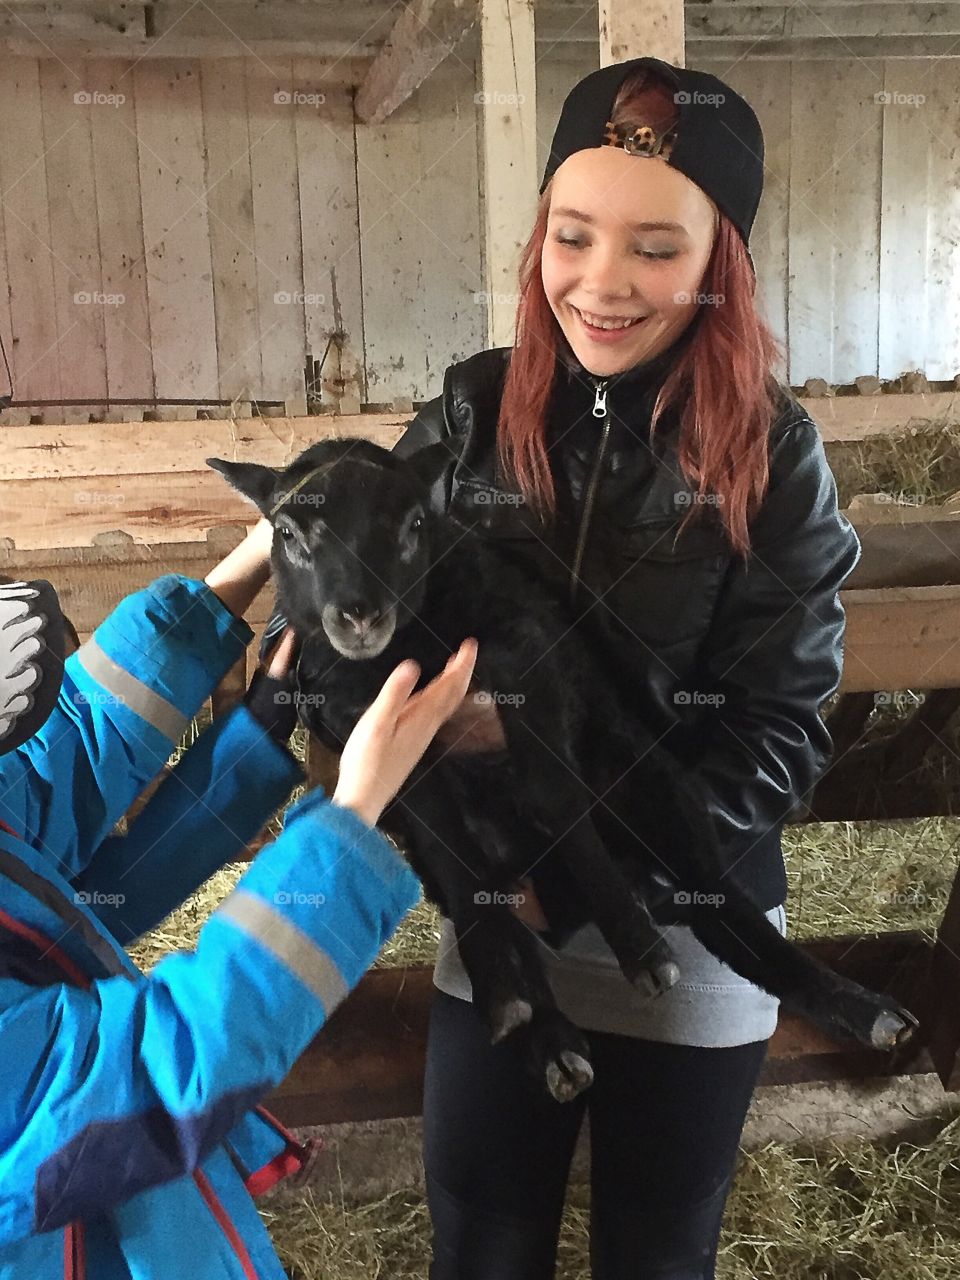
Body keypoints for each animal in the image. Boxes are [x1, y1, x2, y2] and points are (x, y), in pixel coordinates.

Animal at [208, 439, 918, 1102]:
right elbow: (450, 848)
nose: (359, 615)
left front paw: (638, 946)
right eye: (286, 534)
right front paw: (508, 995)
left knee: (720, 906)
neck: (410, 649)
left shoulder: (529, 665)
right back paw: (545, 1038)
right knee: (483, 891)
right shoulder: (382, 735)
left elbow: (555, 795)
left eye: (414, 524)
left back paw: (863, 1010)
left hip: (652, 783)